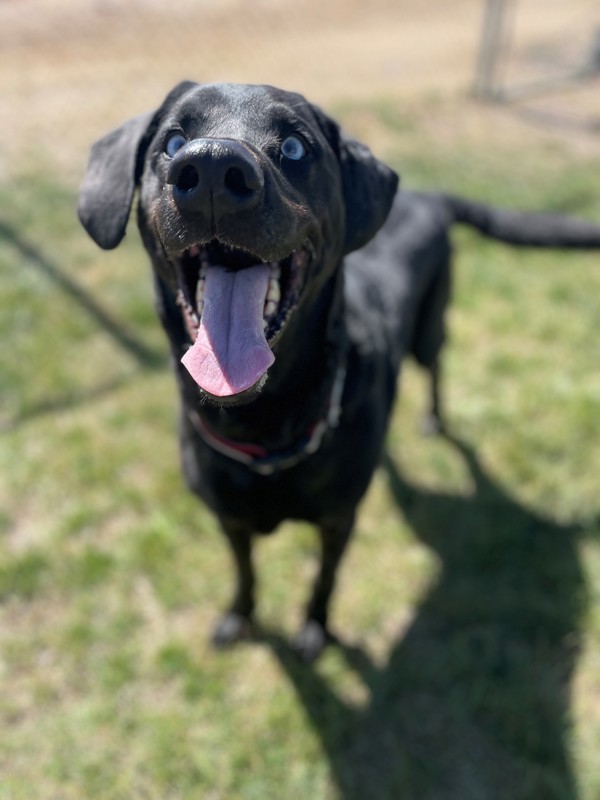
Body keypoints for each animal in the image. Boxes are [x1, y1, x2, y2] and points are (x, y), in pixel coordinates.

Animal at [77, 81, 600, 660]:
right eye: (172, 141)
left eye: (294, 146)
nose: (212, 168)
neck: (264, 424)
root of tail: (429, 196)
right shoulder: (229, 518)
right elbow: (244, 573)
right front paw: (240, 618)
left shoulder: (337, 521)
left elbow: (324, 580)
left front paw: (315, 631)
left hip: (430, 330)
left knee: (436, 369)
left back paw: (434, 420)